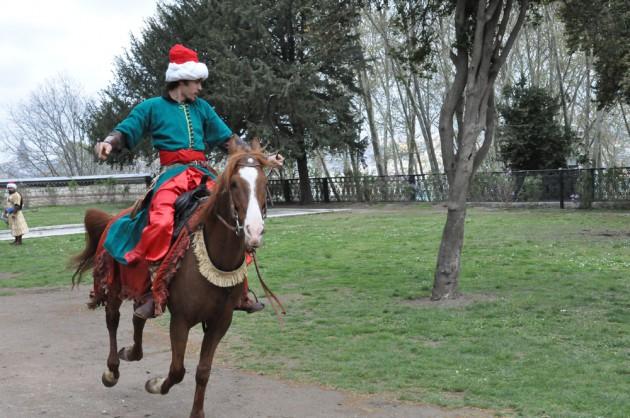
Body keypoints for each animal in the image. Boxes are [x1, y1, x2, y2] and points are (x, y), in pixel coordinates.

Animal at [72, 139, 274, 418]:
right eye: (234, 184)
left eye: (264, 183)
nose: (254, 232)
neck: (215, 256)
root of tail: (114, 218)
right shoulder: (181, 320)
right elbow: (177, 370)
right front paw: (155, 385)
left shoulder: (221, 322)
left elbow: (203, 371)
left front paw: (196, 413)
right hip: (112, 285)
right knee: (113, 320)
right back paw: (111, 371)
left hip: (145, 289)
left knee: (138, 316)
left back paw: (132, 352)